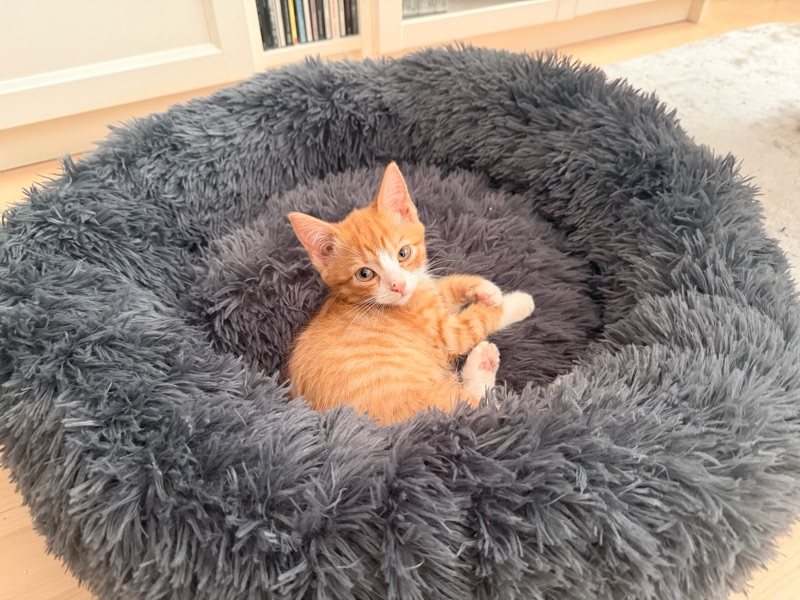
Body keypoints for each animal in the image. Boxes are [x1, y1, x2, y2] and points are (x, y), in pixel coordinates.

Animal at [285, 162, 535, 424]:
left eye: (403, 253)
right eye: (364, 274)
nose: (398, 285)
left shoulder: (422, 287)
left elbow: (446, 287)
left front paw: (486, 289)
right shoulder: (448, 333)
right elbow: (481, 318)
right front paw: (516, 301)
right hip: (435, 404)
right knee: (481, 409)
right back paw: (482, 363)